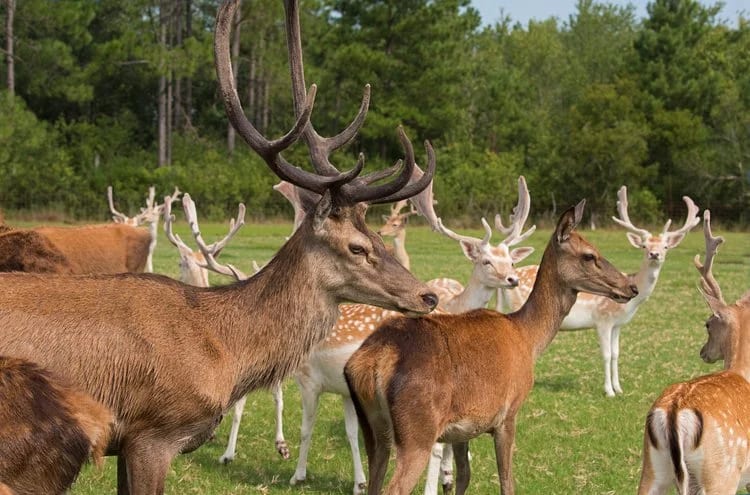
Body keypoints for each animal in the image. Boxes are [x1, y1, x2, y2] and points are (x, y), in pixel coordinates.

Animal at [344, 200, 639, 495]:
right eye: (590, 255)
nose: (631, 286)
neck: (528, 338)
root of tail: (374, 360)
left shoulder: (459, 429)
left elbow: (464, 475)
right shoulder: (507, 413)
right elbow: (507, 481)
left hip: (374, 429)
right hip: (417, 430)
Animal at [497, 186, 700, 397]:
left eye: (666, 246)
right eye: (644, 246)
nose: (654, 254)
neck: (630, 308)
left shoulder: (618, 325)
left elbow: (616, 354)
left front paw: (619, 388)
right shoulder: (603, 320)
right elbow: (606, 354)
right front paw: (609, 391)